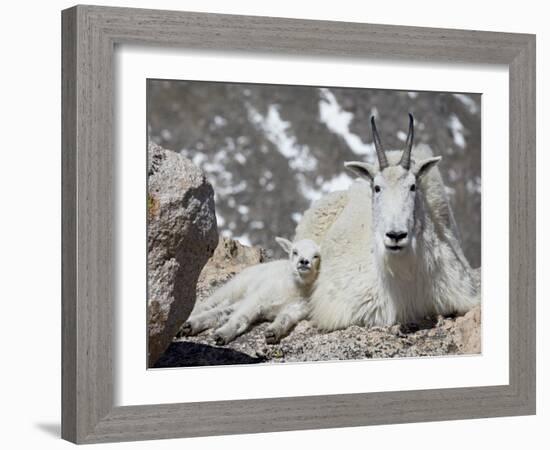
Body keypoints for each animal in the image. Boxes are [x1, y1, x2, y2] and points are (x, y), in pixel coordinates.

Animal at [179, 239, 322, 344]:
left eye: (316, 256)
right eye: (295, 252)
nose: (304, 262)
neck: (293, 288)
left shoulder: (297, 309)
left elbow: (284, 319)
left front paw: (272, 333)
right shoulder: (259, 297)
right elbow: (242, 317)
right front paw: (222, 334)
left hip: (240, 298)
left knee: (221, 312)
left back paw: (189, 326)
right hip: (235, 287)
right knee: (210, 303)